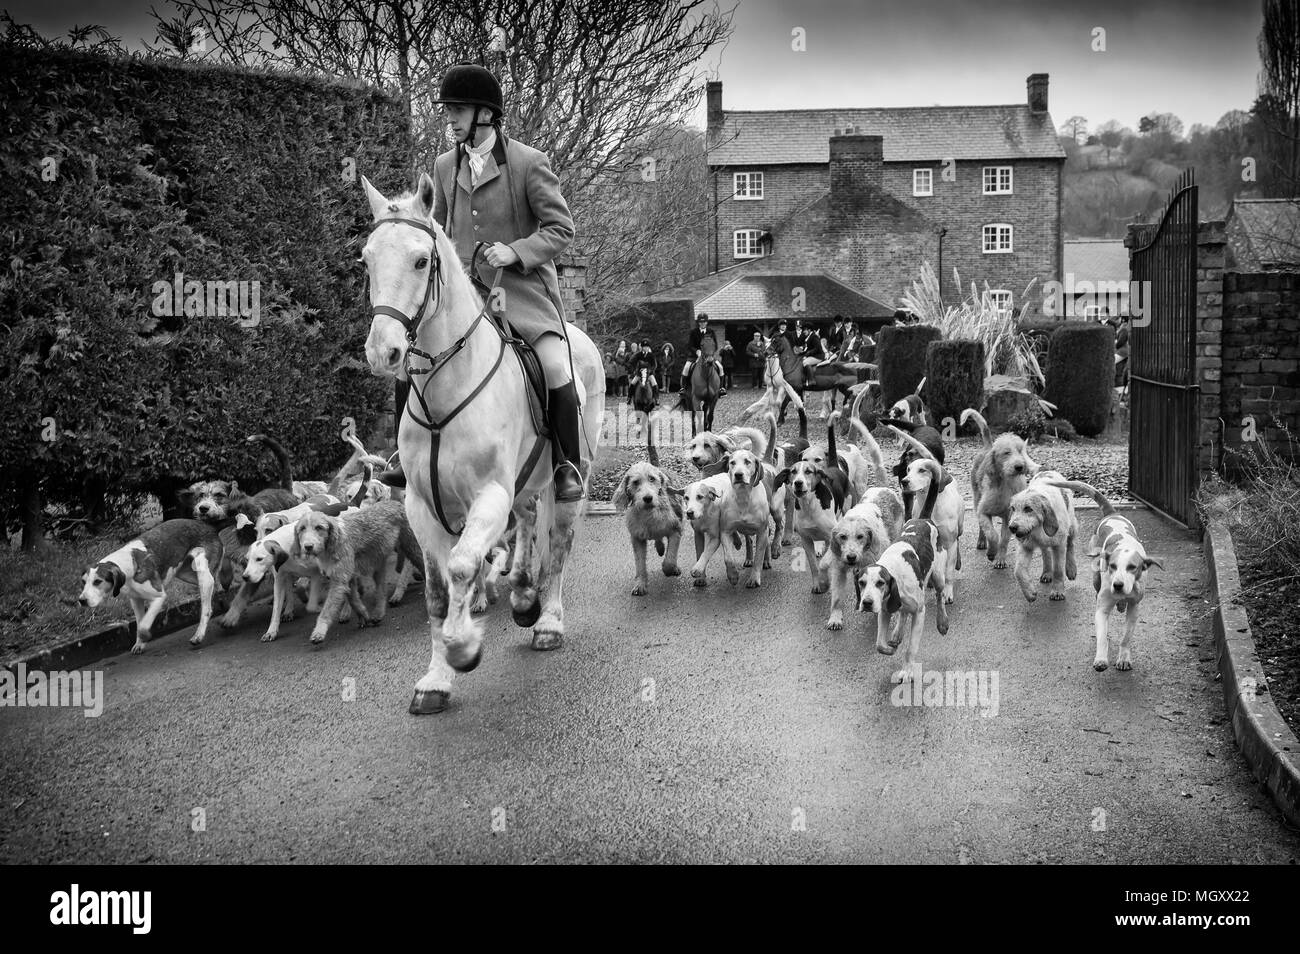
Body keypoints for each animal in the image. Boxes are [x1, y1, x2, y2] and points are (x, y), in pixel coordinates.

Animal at [361, 174, 603, 717]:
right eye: (366, 259)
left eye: (420, 261)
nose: (383, 352)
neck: (444, 391)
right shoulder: (420, 504)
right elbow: (436, 588)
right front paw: (435, 680)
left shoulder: (488, 495)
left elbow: (462, 564)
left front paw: (463, 647)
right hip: (523, 484)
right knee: (528, 523)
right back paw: (523, 595)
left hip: (569, 478)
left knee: (558, 542)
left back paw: (547, 620)